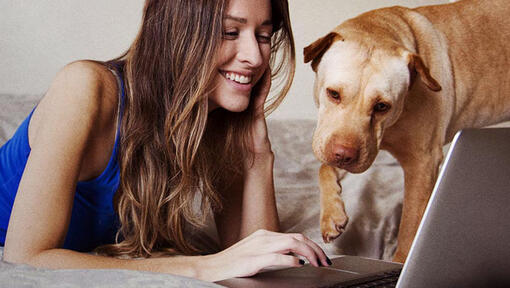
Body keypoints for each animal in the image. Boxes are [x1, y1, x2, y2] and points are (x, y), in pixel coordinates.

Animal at [302, 0, 510, 262]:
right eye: (333, 93)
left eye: (382, 106)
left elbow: (410, 227)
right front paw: (332, 215)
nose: (344, 155)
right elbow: (324, 167)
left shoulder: (422, 164)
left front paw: (400, 262)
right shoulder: (352, 147)